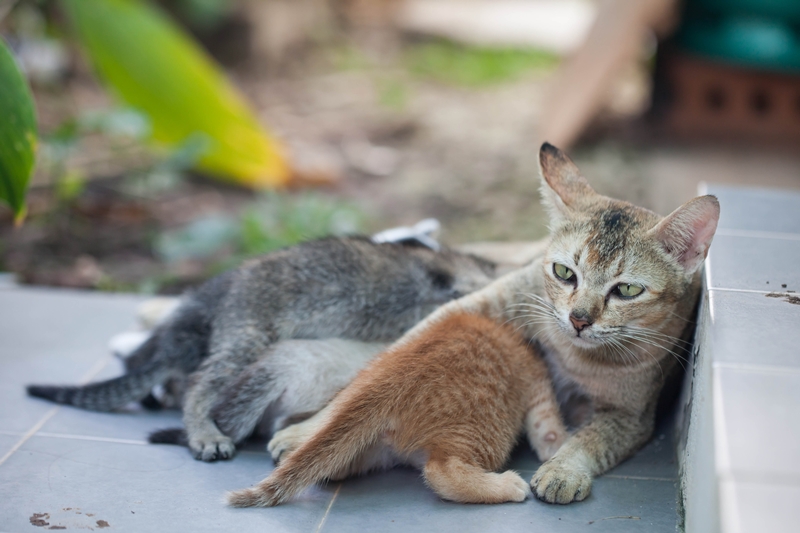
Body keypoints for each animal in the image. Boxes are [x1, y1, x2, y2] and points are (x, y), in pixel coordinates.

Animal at [228, 312, 564, 508]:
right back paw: (507, 485)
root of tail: (391, 377)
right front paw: (556, 449)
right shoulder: (536, 382)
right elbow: (546, 424)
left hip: (366, 418)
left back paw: (299, 446)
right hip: (486, 430)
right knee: (441, 470)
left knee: (330, 424)